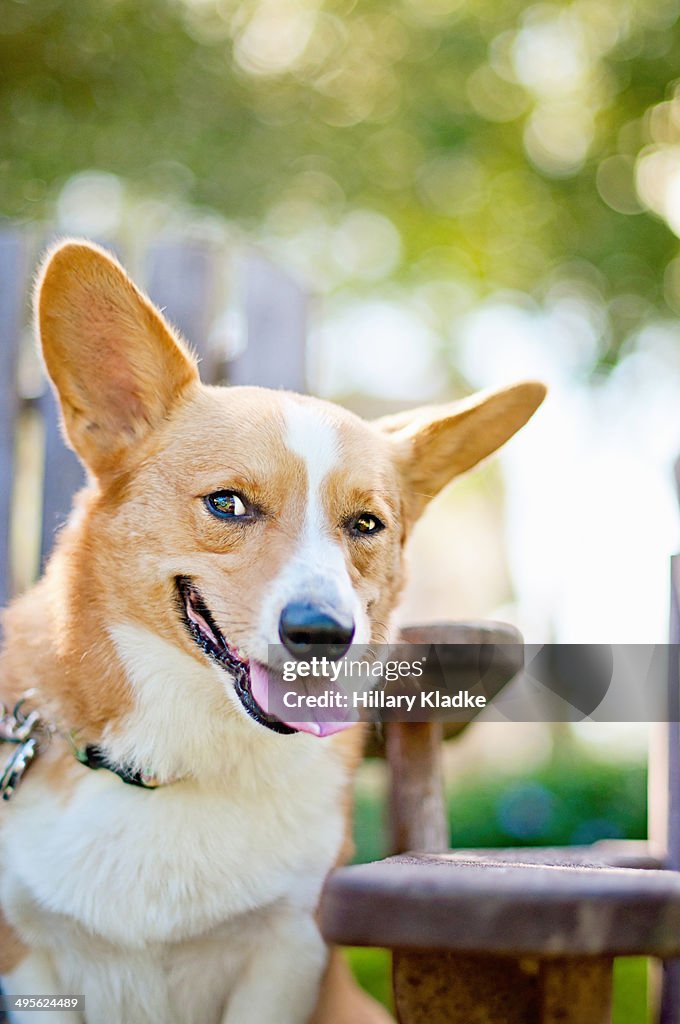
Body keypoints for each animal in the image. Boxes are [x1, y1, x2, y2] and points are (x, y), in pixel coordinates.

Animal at [0, 241, 540, 1024]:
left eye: (366, 524)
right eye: (228, 503)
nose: (324, 632)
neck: (179, 762)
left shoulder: (287, 954)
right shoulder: (31, 965)